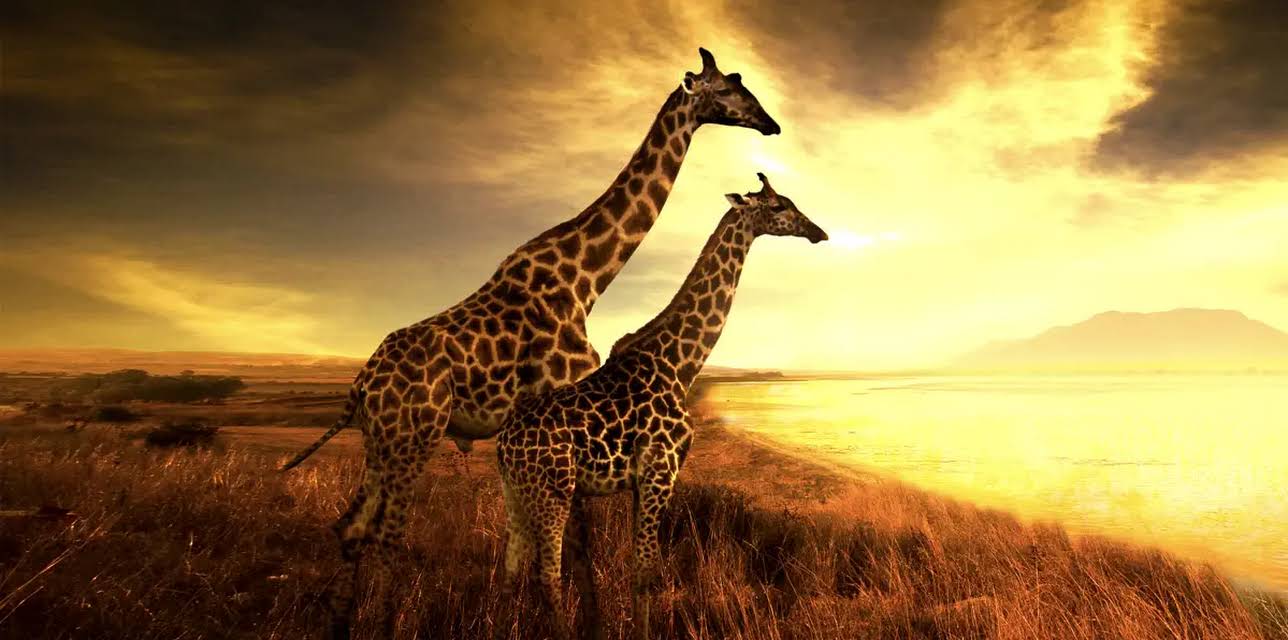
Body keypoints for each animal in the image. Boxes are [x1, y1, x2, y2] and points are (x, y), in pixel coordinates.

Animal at [278, 48, 780, 640]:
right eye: (729, 88)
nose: (771, 124)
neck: (586, 276)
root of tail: (361, 384)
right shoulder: (564, 402)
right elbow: (577, 547)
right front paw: (591, 624)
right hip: (413, 438)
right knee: (388, 540)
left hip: (378, 442)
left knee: (351, 529)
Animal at [496, 173, 828, 640]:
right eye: (779, 206)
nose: (819, 232)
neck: (682, 363)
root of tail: (503, 445)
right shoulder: (660, 471)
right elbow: (646, 572)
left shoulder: (642, 481)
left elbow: (642, 570)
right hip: (553, 491)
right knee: (547, 577)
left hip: (516, 493)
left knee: (509, 572)